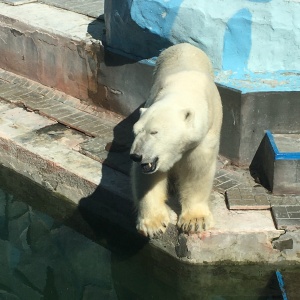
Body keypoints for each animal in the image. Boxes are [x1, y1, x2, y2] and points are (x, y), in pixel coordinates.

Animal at [129, 43, 223, 238]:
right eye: (136, 131)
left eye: (154, 132)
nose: (136, 156)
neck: (183, 89)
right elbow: (148, 178)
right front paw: (153, 224)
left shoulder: (203, 136)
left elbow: (196, 169)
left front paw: (196, 221)